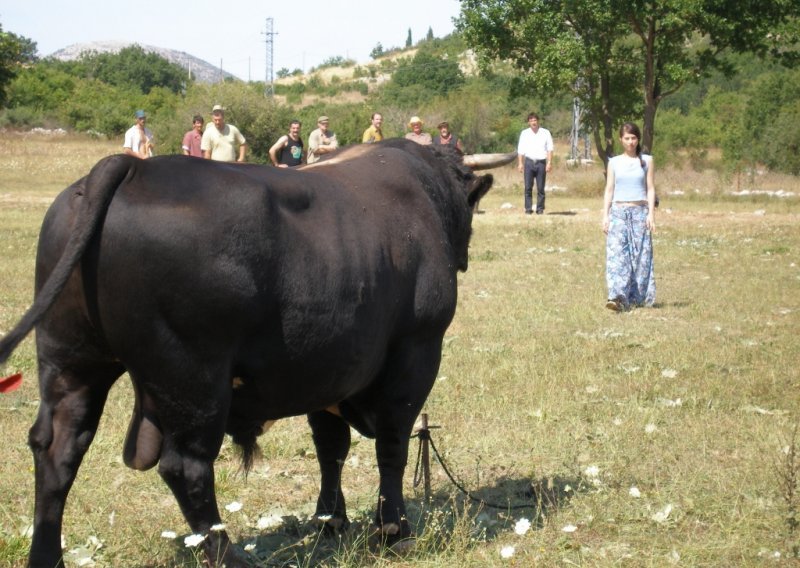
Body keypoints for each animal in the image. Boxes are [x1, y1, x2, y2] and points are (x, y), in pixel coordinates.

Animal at [0, 139, 494, 568]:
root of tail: (131, 167)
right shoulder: (416, 351)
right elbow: (392, 445)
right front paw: (394, 531)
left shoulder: (328, 367)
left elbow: (330, 447)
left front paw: (331, 520)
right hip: (194, 376)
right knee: (186, 466)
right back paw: (229, 556)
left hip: (70, 358)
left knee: (58, 448)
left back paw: (46, 556)